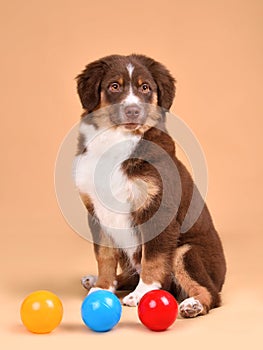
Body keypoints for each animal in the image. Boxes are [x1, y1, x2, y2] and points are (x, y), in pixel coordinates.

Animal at [74, 54, 227, 318]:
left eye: (145, 87)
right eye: (114, 86)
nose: (133, 110)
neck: (118, 141)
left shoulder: (157, 210)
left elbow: (152, 259)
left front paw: (142, 294)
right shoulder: (95, 212)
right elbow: (104, 255)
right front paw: (102, 288)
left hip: (186, 251)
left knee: (211, 293)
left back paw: (193, 305)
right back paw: (96, 280)